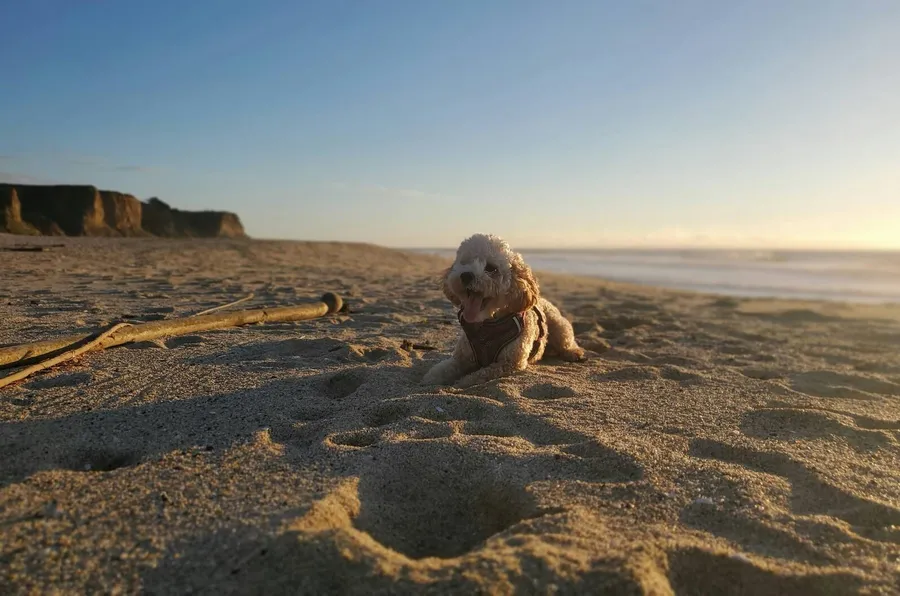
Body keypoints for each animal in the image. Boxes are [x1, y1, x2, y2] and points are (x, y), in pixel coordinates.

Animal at [426, 233, 588, 386]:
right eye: (464, 262)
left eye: (491, 268)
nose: (466, 275)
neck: (487, 326)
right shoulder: (462, 357)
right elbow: (443, 369)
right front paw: (431, 379)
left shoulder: (509, 363)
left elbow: (479, 375)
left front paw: (462, 382)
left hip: (559, 326)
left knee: (566, 342)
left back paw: (574, 352)